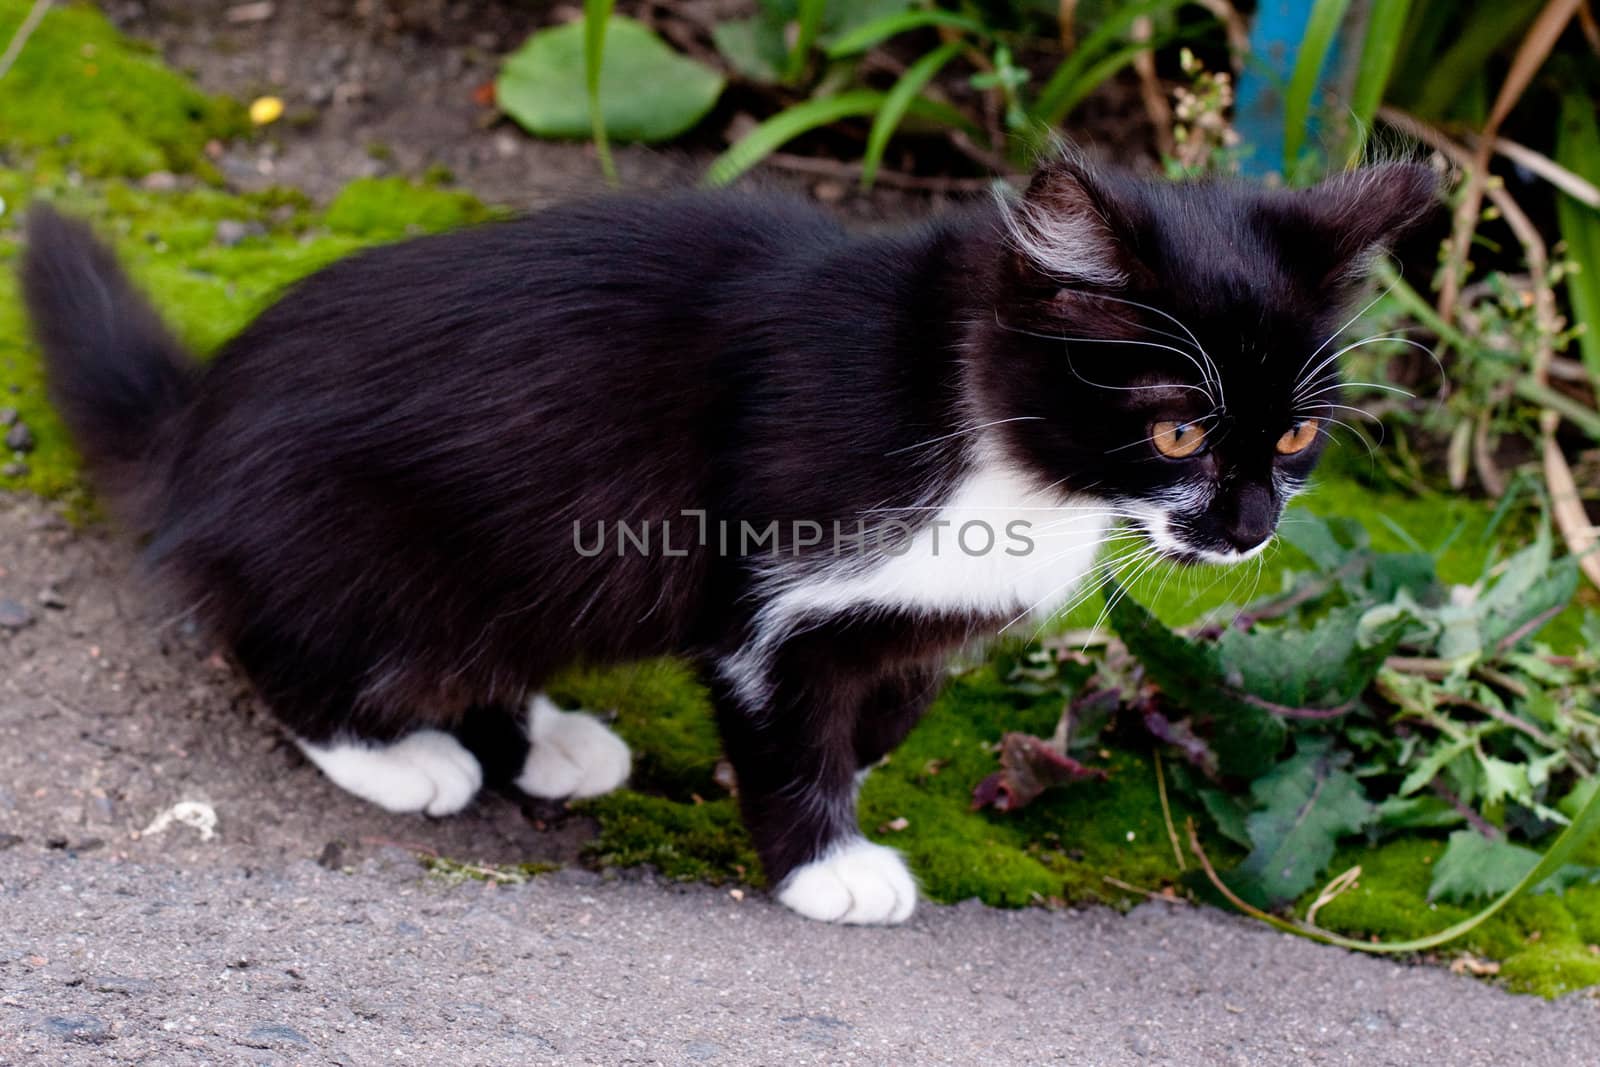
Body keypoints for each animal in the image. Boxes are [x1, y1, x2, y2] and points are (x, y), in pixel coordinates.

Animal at [18, 160, 1440, 927]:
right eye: (1176, 431)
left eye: (1297, 433)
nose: (1250, 529)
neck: (984, 429)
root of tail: (198, 422)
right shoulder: (772, 579)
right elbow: (785, 716)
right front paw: (827, 864)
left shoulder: (912, 603)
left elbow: (890, 696)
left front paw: (865, 761)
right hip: (378, 542)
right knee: (291, 639)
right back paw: (399, 750)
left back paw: (549, 735)